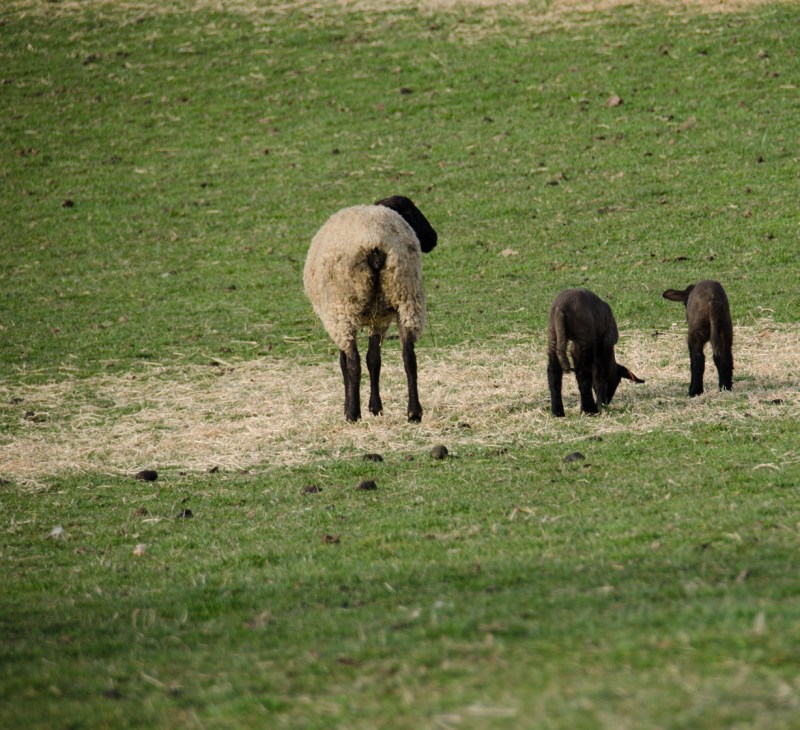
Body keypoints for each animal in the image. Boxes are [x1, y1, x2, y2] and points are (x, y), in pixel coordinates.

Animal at [303, 195, 437, 422]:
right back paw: (414, 412)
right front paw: (376, 408)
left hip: (343, 309)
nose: (433, 238)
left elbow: (345, 362)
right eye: (411, 211)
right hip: (406, 295)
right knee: (409, 357)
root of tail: (374, 243)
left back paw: (353, 414)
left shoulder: (339, 318)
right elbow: (374, 359)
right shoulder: (379, 318)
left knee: (353, 363)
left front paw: (351, 406)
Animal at [547, 288, 644, 417]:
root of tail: (560, 308)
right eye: (618, 380)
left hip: (554, 335)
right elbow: (599, 377)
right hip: (584, 337)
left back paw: (557, 412)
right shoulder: (605, 347)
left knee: (554, 373)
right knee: (583, 375)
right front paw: (599, 404)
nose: (607, 401)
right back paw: (590, 410)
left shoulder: (576, 349)